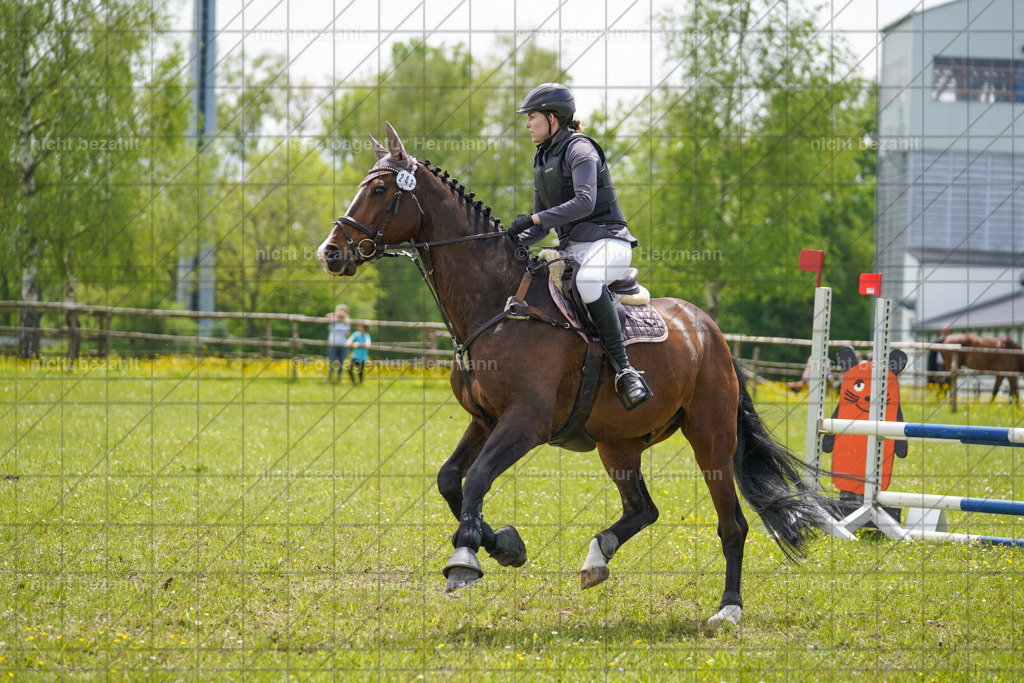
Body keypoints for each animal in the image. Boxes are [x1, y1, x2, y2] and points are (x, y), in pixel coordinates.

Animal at [316, 123, 836, 629]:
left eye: (379, 189)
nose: (330, 253)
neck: (497, 305)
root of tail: (710, 331)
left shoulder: (525, 422)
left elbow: (478, 477)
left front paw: (465, 559)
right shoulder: (485, 420)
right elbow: (450, 480)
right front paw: (504, 545)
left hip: (711, 438)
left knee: (733, 524)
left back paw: (728, 608)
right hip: (618, 443)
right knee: (643, 508)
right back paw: (596, 558)